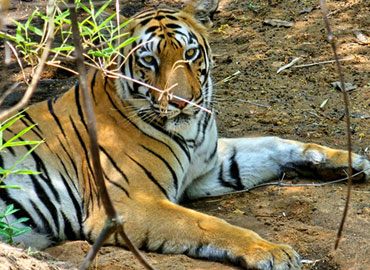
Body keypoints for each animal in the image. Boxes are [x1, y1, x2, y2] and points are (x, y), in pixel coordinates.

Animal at [0, 0, 370, 268]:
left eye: (190, 54)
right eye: (149, 60)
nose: (181, 102)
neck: (190, 133)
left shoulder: (208, 169)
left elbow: (273, 144)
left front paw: (346, 160)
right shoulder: (129, 203)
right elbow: (206, 224)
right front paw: (270, 251)